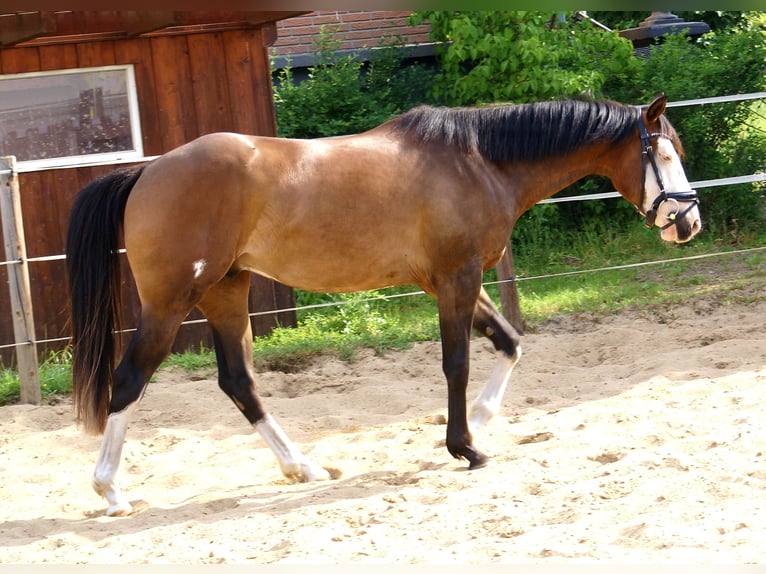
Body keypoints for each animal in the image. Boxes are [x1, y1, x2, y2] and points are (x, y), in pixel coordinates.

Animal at [66, 94, 701, 516]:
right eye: (664, 154)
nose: (689, 222)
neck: (477, 161)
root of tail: (148, 170)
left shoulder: (447, 282)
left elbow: (510, 342)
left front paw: (481, 421)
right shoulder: (457, 277)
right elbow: (457, 362)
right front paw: (466, 446)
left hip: (227, 291)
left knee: (238, 381)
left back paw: (302, 467)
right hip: (172, 302)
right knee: (129, 379)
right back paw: (110, 490)